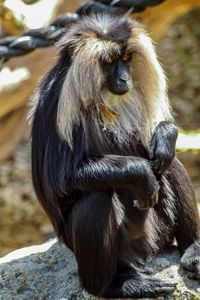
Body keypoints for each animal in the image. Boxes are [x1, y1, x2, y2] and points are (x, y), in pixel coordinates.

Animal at [29, 13, 200, 298]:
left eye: (126, 59)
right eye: (108, 62)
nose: (123, 80)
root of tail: (145, 251)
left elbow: (157, 148)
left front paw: (165, 136)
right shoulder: (59, 100)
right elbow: (62, 178)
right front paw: (142, 175)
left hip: (158, 229)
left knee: (170, 164)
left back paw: (193, 250)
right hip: (127, 245)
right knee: (97, 199)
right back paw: (116, 285)